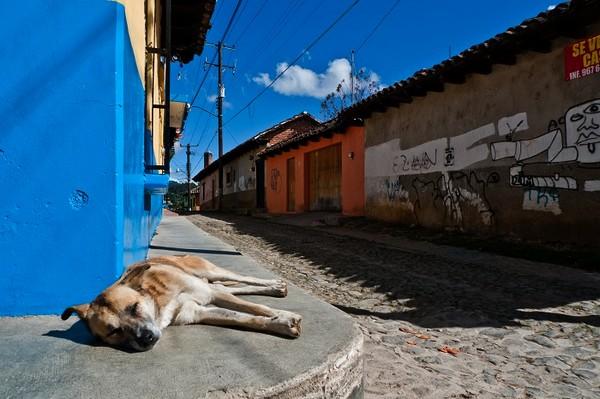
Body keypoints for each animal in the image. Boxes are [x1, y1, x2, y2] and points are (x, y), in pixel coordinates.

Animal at [62, 255, 300, 352]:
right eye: (114, 332)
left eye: (134, 307)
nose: (146, 338)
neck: (159, 301)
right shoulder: (198, 312)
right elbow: (245, 318)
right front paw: (279, 323)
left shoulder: (207, 294)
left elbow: (257, 308)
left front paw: (284, 315)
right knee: (229, 287)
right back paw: (274, 289)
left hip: (209, 271)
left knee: (241, 278)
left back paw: (274, 285)